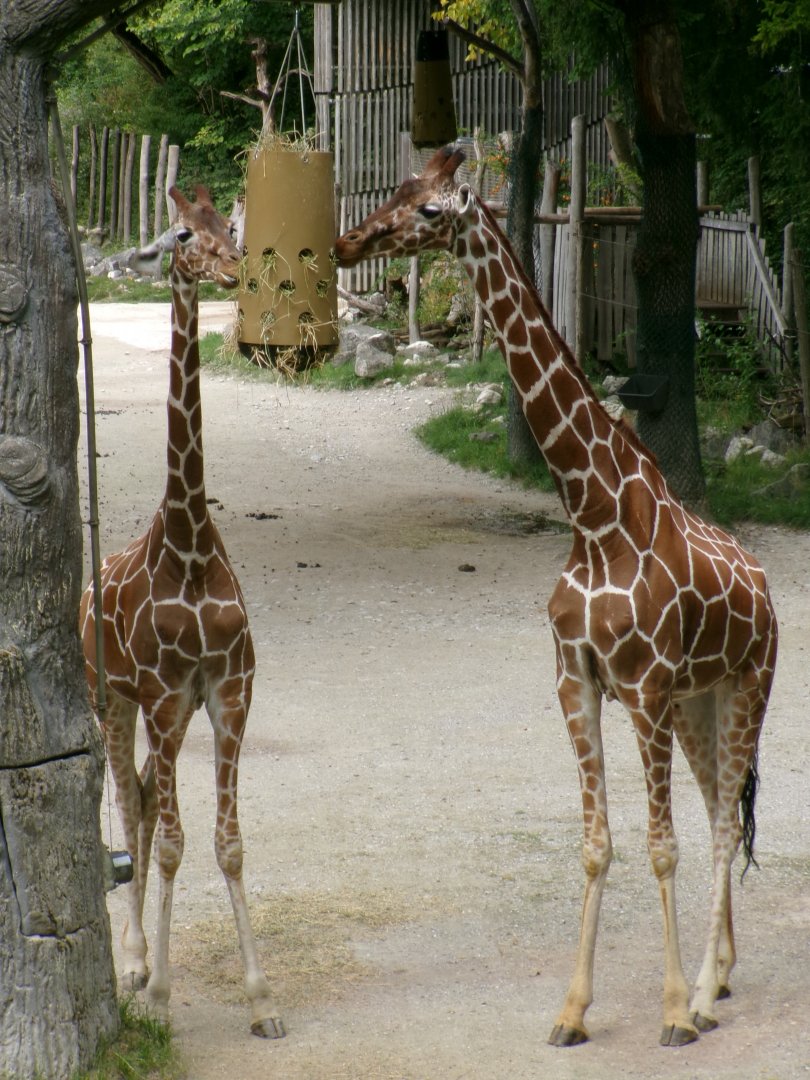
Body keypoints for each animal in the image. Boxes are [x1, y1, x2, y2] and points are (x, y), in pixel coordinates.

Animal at [335, 146, 777, 1047]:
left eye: (431, 210)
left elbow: (662, 844)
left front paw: (670, 1010)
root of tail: (769, 597)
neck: (593, 510)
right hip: (701, 699)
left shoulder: (641, 686)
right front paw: (573, 1010)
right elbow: (598, 843)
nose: (348, 242)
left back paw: (703, 997)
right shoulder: (579, 680)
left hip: (747, 686)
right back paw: (721, 975)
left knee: (722, 823)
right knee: (721, 805)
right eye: (399, 188)